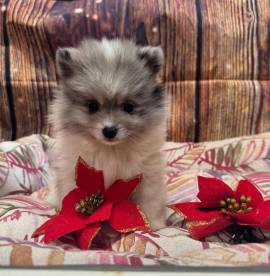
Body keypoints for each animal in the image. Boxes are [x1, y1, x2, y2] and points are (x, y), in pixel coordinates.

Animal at [47, 38, 168, 229]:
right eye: (92, 106)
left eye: (129, 107)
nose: (109, 130)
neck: (111, 149)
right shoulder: (74, 172)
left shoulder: (147, 175)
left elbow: (150, 202)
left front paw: (155, 226)